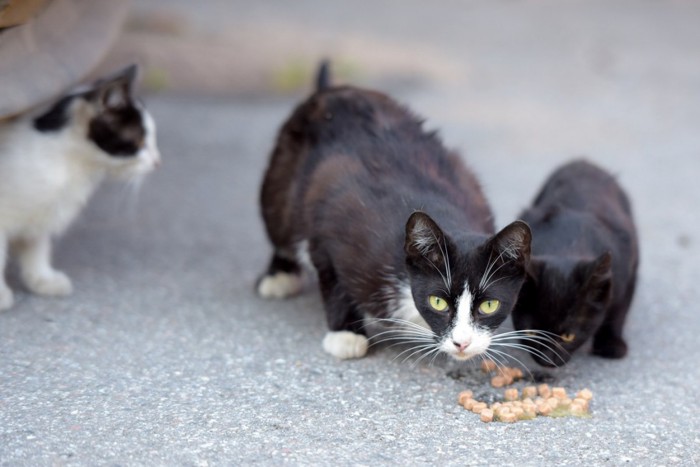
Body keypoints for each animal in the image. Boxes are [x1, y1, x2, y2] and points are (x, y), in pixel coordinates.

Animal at [258, 62, 532, 362]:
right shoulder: (332, 218)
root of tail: (330, 91)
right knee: (281, 221)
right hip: (282, 178)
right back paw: (280, 275)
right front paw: (346, 334)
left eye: (489, 305)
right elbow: (331, 274)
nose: (462, 343)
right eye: (438, 301)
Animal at [508, 161, 640, 370]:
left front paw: (611, 345)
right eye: (531, 332)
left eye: (568, 336)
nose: (546, 360)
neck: (568, 245)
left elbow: (619, 309)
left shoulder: (628, 269)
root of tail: (583, 162)